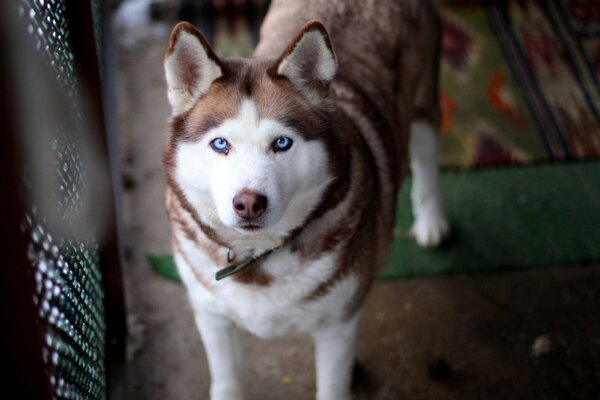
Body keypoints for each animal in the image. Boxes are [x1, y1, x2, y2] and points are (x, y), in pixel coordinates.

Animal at [162, 1, 448, 398]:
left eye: (282, 143)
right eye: (220, 144)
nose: (249, 203)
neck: (258, 259)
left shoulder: (338, 324)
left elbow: (331, 386)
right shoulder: (212, 316)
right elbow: (227, 380)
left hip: (423, 101)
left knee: (425, 154)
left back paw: (431, 219)